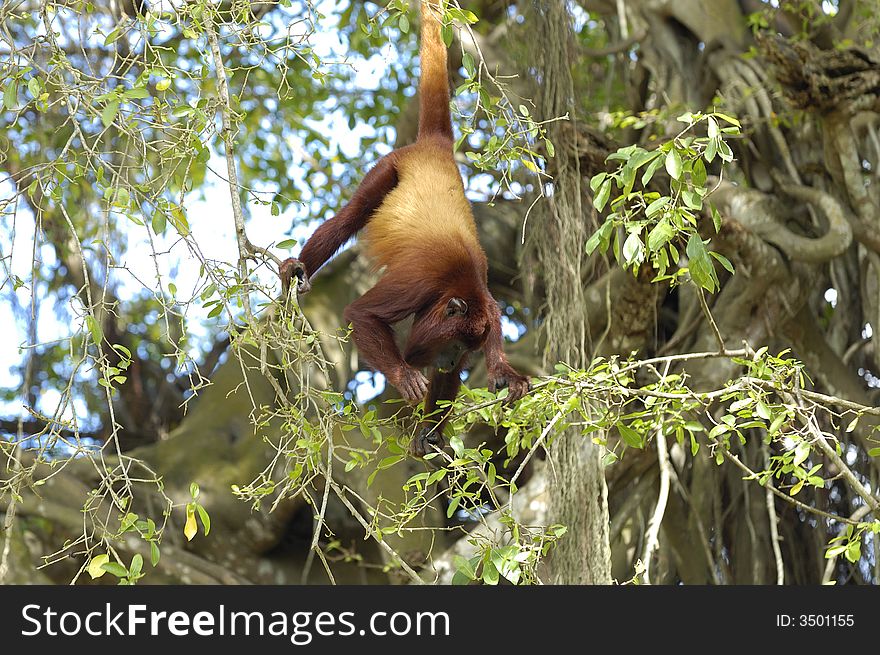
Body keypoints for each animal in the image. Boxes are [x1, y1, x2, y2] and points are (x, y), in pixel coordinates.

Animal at [284, 0, 528, 456]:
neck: (458, 286)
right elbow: (360, 314)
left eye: (462, 352)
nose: (449, 361)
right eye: (453, 345)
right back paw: (296, 267)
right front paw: (402, 375)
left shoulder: (490, 309)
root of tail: (436, 148)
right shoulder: (421, 280)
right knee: (355, 211)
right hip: (391, 165)